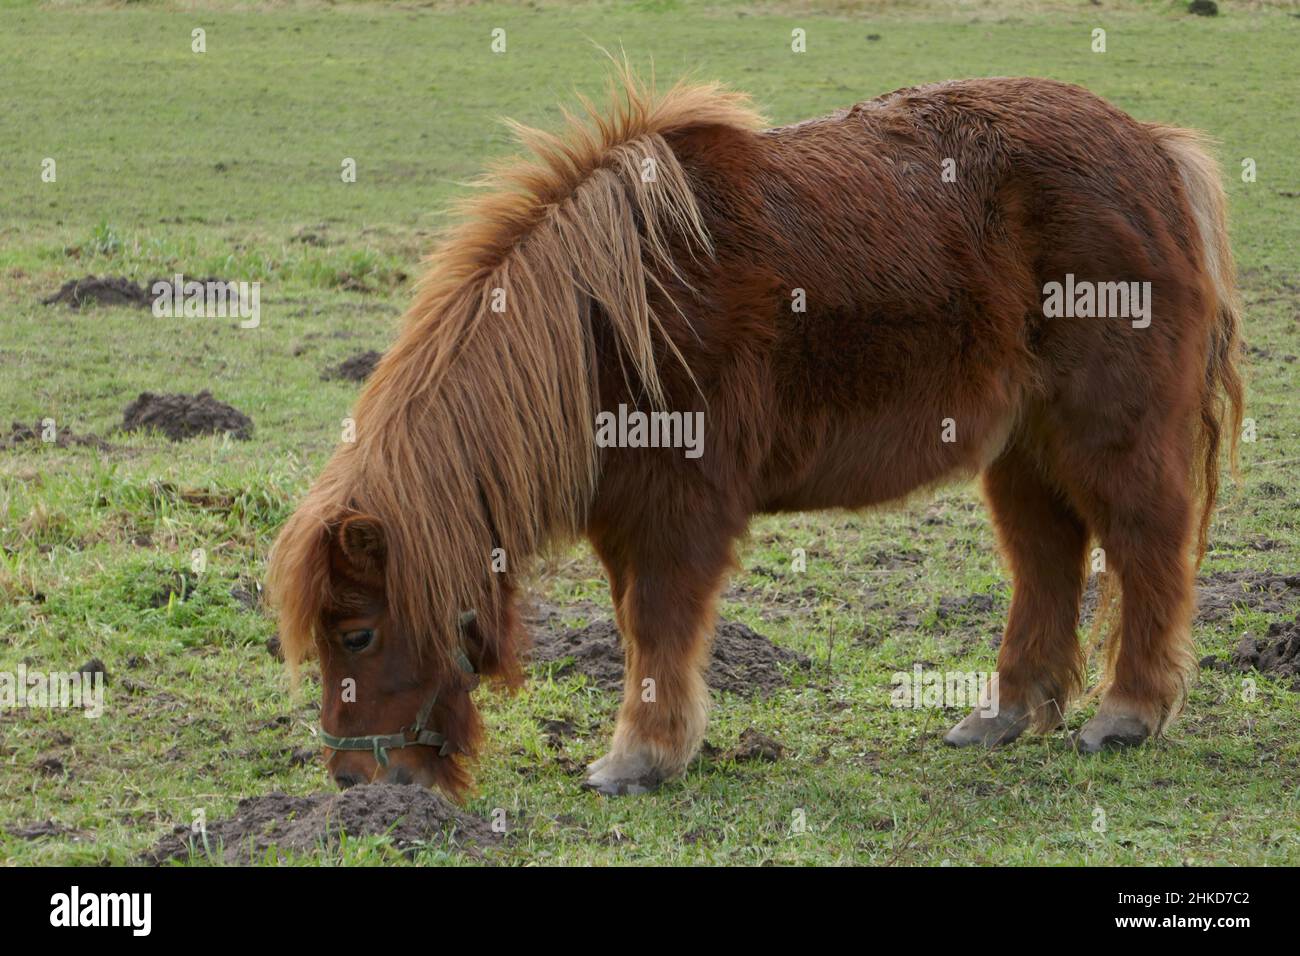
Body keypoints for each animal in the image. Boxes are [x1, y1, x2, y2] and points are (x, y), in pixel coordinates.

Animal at [263, 69, 1237, 801]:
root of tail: (1153, 149)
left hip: (1107, 431)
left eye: (356, 635)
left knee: (1144, 544)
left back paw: (1127, 715)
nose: (355, 784)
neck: (605, 324)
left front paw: (638, 760)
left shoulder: (679, 507)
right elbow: (637, 626)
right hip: (1023, 446)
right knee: (1048, 556)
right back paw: (1005, 715)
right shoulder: (628, 513)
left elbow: (658, 624)